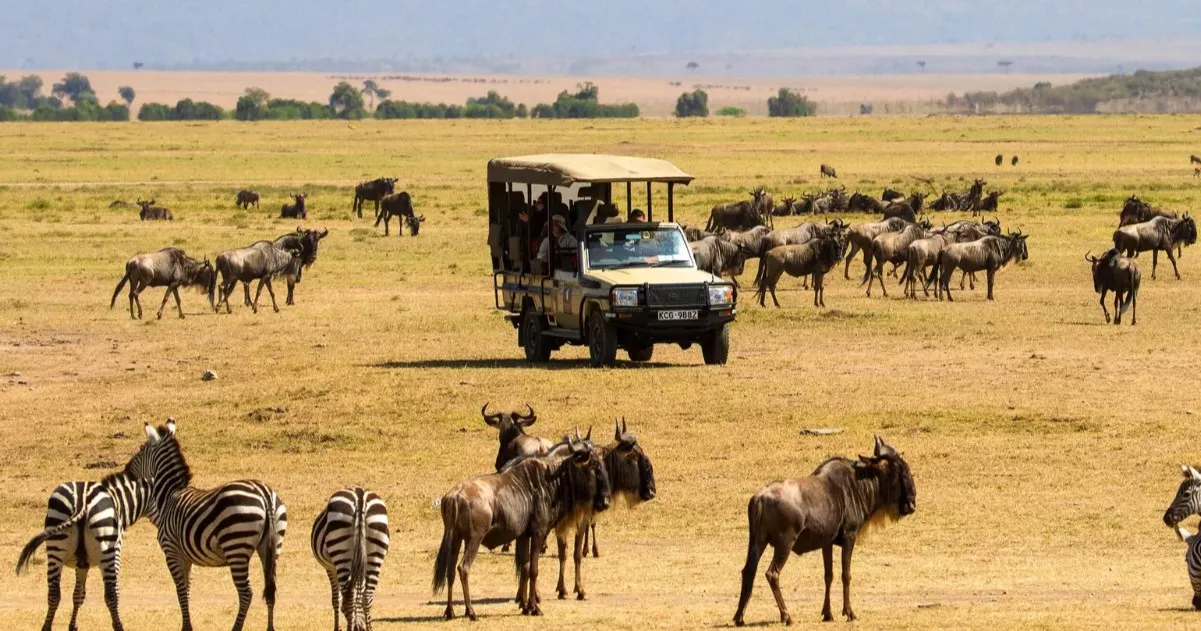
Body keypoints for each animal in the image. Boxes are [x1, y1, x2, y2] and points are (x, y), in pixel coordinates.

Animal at [15, 468, 151, 624]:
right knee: (111, 594)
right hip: (105, 549)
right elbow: (108, 592)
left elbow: (78, 595)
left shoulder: (81, 563)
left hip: (56, 545)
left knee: (54, 594)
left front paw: (72, 626)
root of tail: (81, 501)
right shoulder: (115, 553)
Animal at [127, 418, 287, 629]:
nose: (126, 471)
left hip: (236, 545)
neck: (168, 497)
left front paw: (186, 627)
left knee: (246, 594)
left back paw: (235, 628)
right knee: (271, 591)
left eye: (140, 450)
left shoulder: (171, 551)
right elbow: (187, 589)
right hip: (272, 546)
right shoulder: (186, 557)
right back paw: (270, 628)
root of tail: (265, 494)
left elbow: (180, 590)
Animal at [309, 487, 389, 629]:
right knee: (367, 596)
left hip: (340, 553)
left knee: (349, 597)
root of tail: (360, 496)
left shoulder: (331, 568)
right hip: (376, 550)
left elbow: (337, 599)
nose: (360, 628)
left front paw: (337, 628)